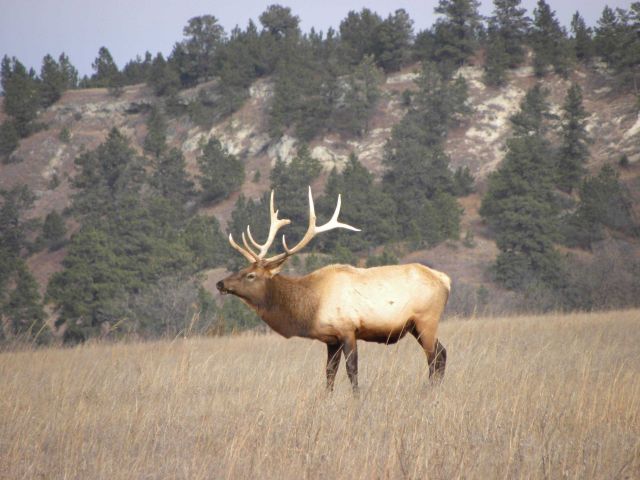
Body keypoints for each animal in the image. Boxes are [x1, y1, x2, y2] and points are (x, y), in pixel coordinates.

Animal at [216, 187, 450, 392]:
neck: (310, 307)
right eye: (242, 268)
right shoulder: (331, 339)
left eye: (250, 275)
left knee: (434, 357)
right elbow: (329, 373)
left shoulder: (347, 330)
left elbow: (352, 370)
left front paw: (356, 399)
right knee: (442, 353)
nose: (220, 284)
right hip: (414, 327)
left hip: (427, 320)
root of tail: (445, 280)